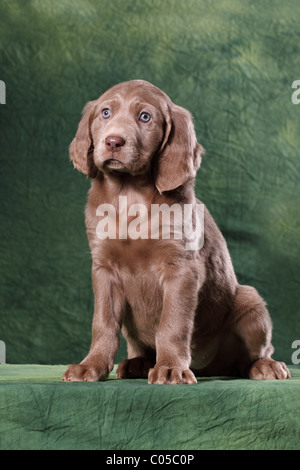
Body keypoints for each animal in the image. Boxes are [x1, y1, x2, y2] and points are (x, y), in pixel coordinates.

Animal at [62, 79, 290, 384]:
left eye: (145, 117)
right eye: (105, 113)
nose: (113, 142)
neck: (129, 194)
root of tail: (211, 367)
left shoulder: (181, 268)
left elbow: (173, 322)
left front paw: (170, 368)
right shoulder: (103, 269)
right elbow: (103, 323)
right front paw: (91, 365)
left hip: (250, 302)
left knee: (250, 357)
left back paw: (265, 366)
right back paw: (137, 363)